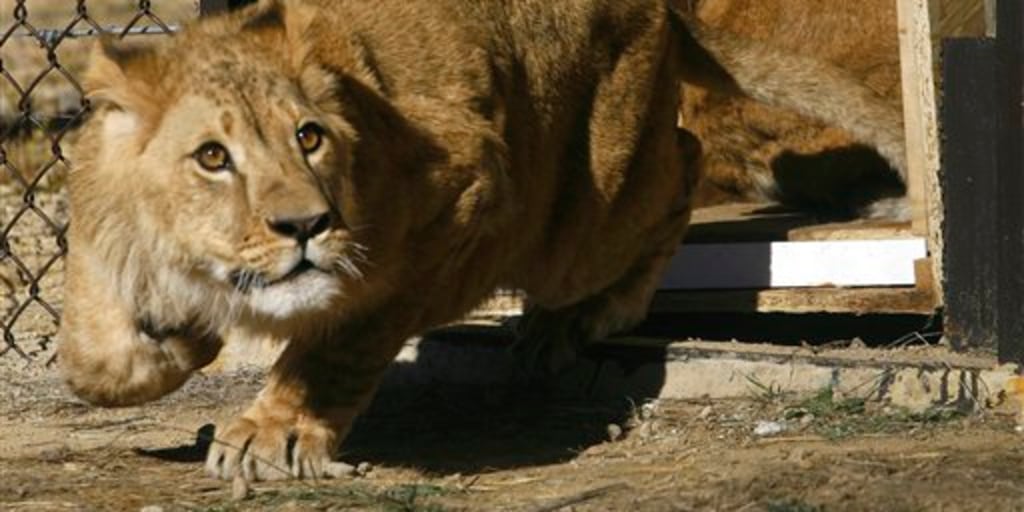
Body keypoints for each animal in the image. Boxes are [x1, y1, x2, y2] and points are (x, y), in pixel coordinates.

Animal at [58, 0, 905, 479]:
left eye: (309, 138)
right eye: (212, 157)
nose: (307, 225)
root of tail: (662, 6)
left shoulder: (466, 184)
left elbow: (341, 341)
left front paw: (276, 433)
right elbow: (91, 363)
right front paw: (170, 343)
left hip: (579, 220)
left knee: (682, 169)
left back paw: (576, 319)